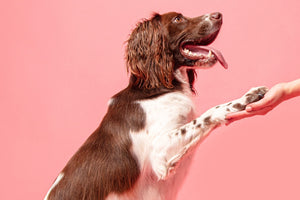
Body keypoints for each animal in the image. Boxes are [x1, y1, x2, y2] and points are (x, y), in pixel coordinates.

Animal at [44, 11, 268, 199]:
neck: (159, 87)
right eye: (178, 19)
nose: (218, 14)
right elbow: (209, 113)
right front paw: (248, 97)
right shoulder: (160, 153)